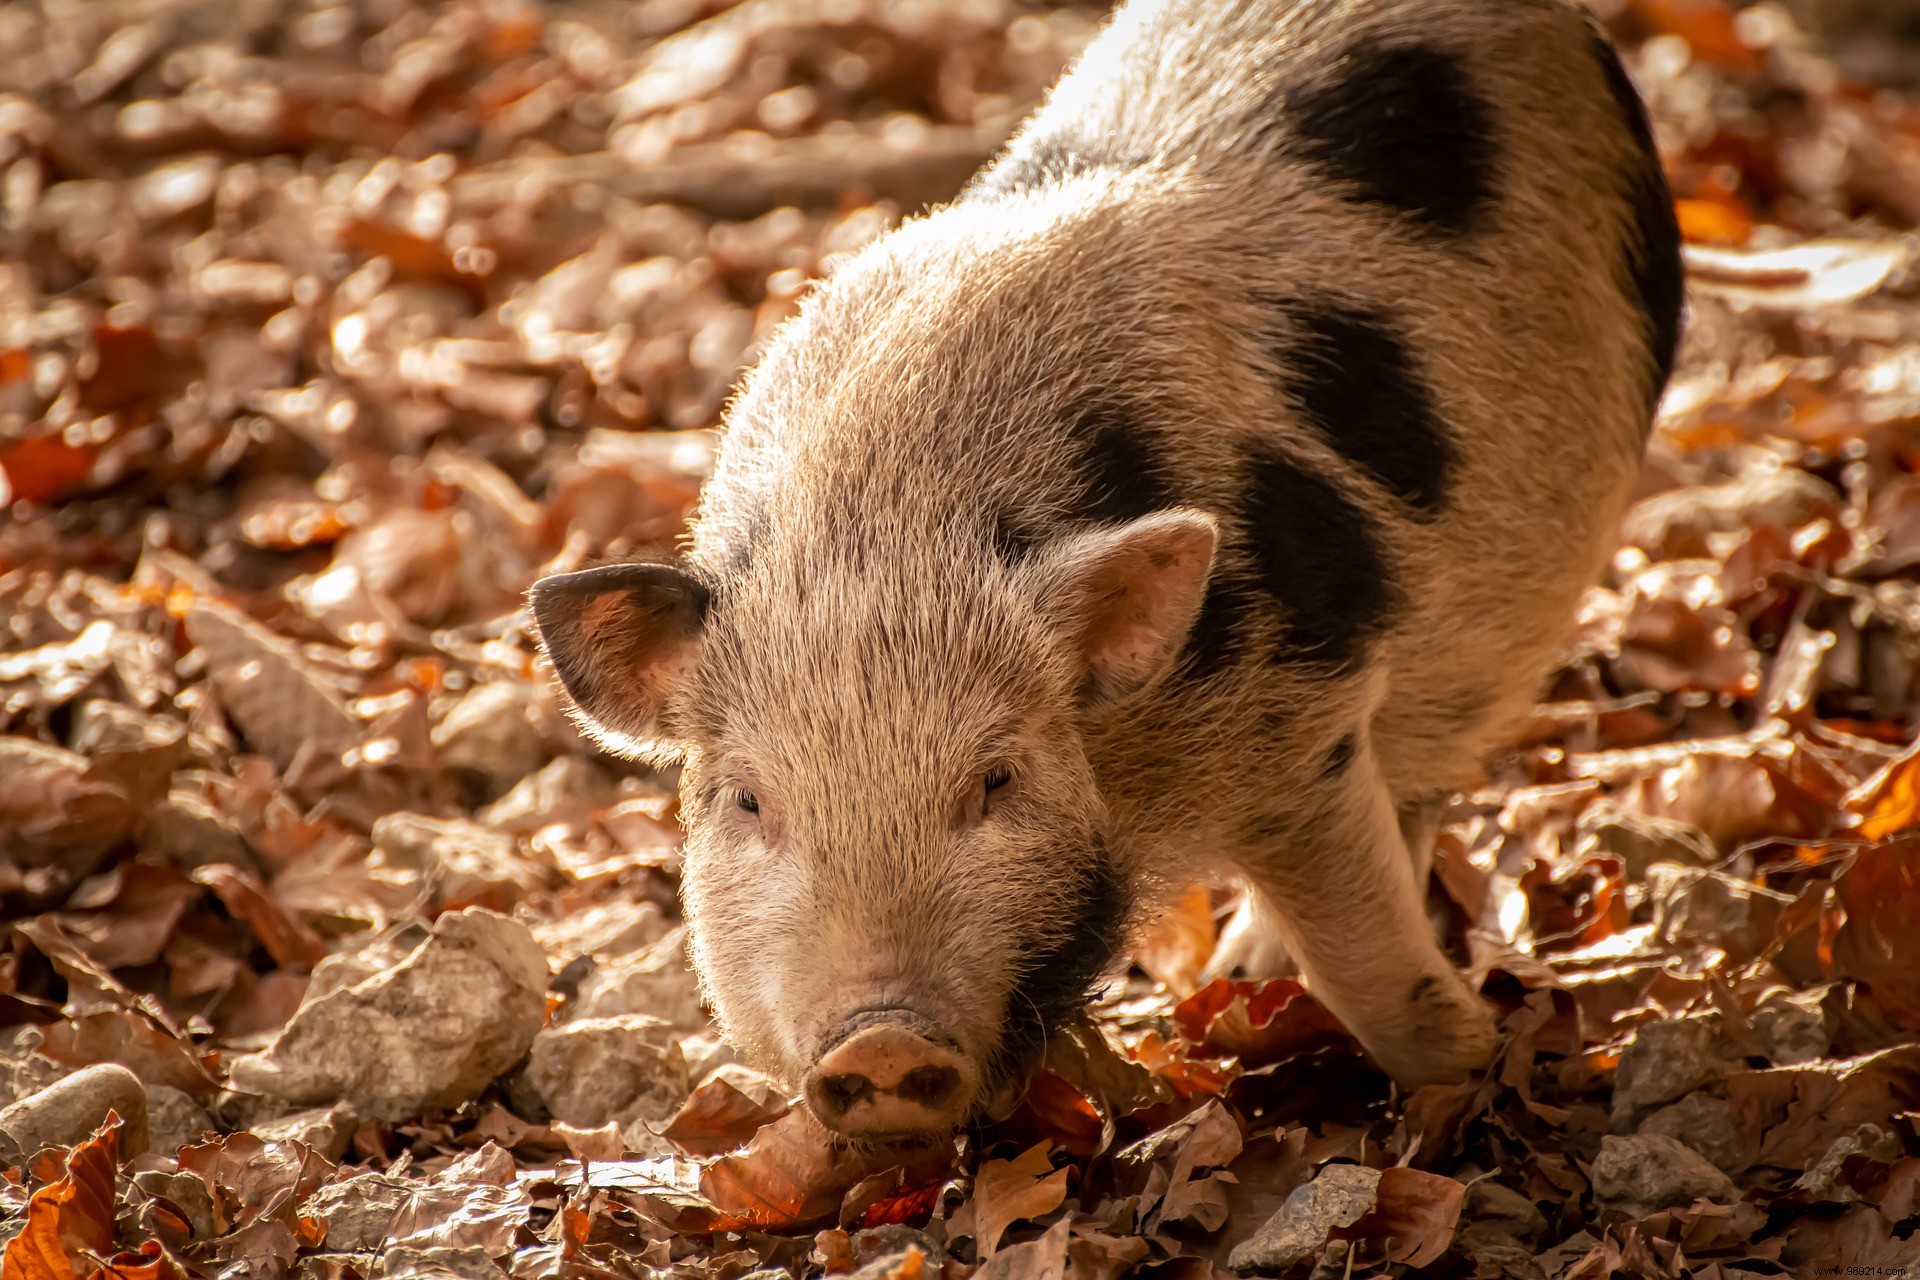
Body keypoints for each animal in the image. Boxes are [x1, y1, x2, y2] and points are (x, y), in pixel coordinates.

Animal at [529, 0, 1681, 1143]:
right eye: (748, 801)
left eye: (997, 779)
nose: (882, 1043)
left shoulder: (1306, 704)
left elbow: (1364, 953)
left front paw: (1478, 1075)